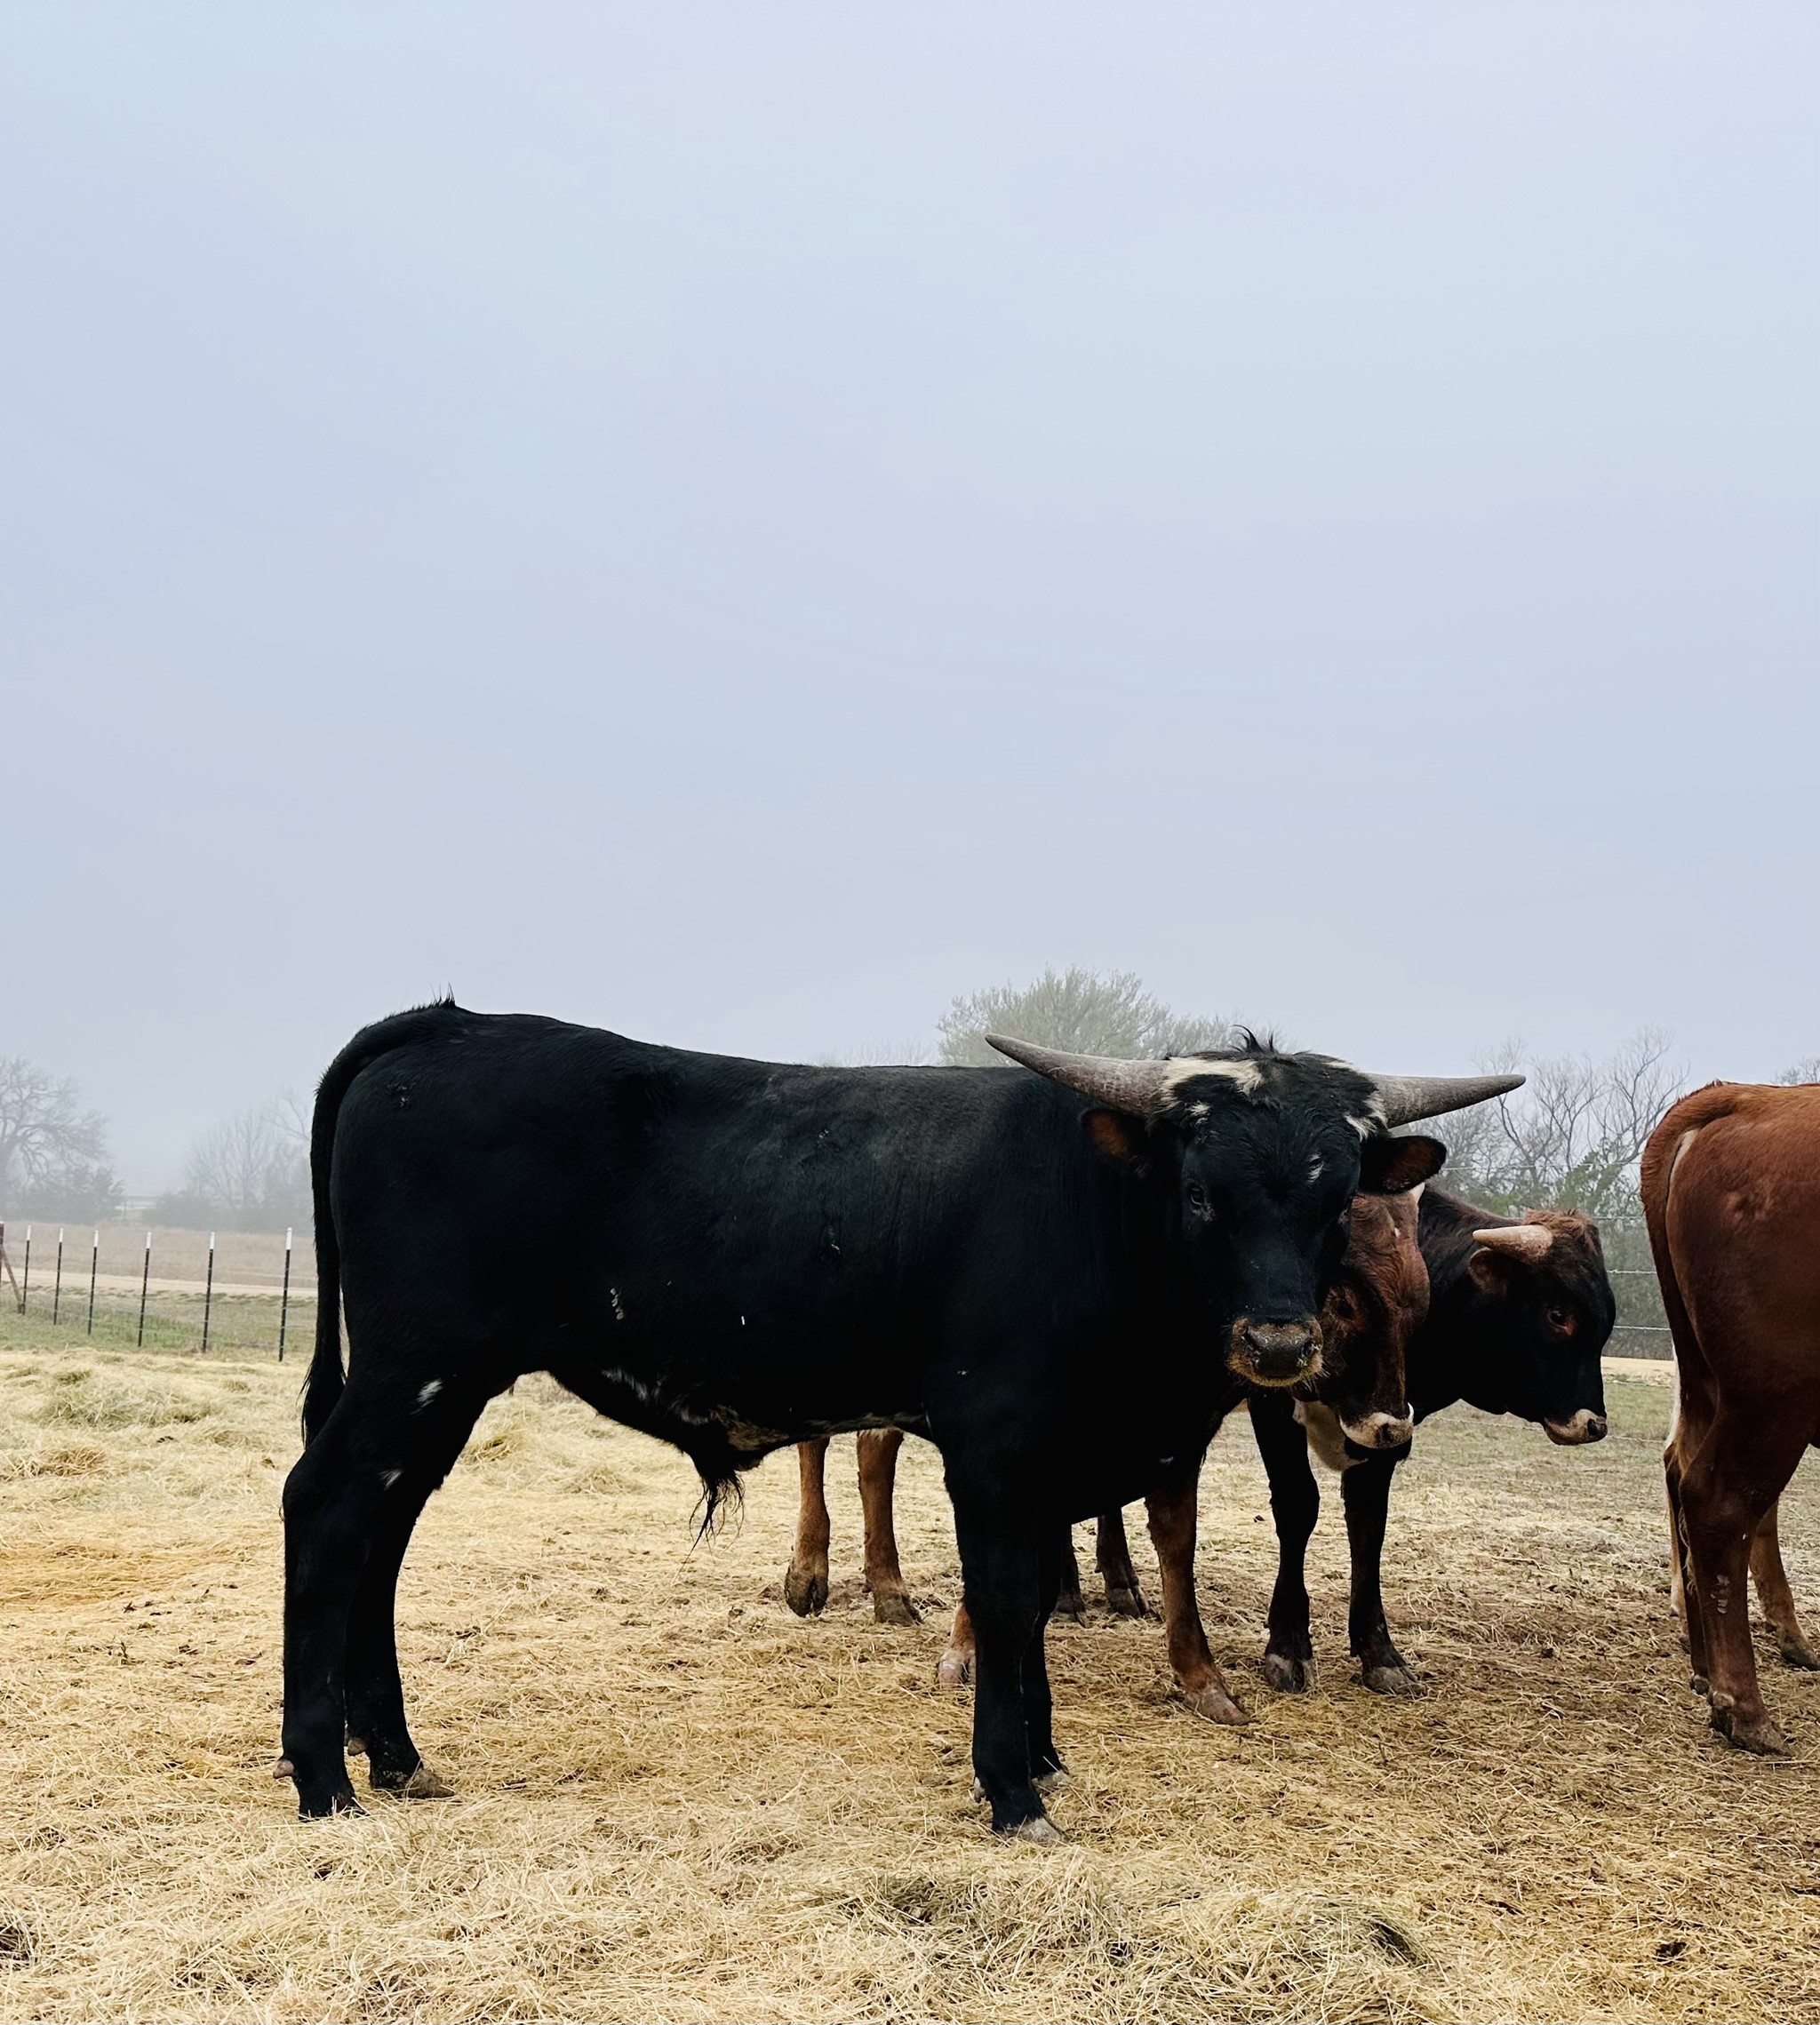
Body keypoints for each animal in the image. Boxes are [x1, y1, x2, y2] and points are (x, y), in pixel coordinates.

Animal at [792, 1190, 1427, 1726]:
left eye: (1419, 1297)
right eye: (1343, 1297)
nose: (1390, 1427)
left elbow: (1173, 1534)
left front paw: (1200, 1677)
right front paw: (969, 1649)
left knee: (874, 1447)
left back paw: (890, 1592)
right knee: (827, 1442)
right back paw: (811, 1576)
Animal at [1248, 1184, 1615, 1697]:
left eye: (1607, 1320)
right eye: (1557, 1314)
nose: (1593, 1424)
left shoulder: (1388, 1430)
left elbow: (1369, 1524)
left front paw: (1380, 1654)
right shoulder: (1273, 1402)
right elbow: (1298, 1507)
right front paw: (1288, 1646)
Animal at [1644, 1080, 1820, 1756]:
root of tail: (1746, 1098)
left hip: (1711, 1385)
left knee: (1686, 1475)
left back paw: (1705, 1667)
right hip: (1775, 1399)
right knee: (1721, 1505)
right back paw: (1743, 1708)